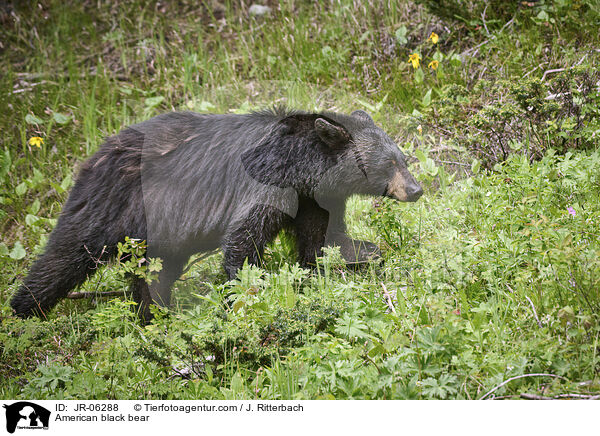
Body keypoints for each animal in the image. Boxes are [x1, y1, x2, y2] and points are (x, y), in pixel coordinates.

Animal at [9, 108, 422, 320]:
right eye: (388, 163)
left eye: (402, 157)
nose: (416, 189)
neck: (301, 166)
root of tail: (93, 155)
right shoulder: (268, 186)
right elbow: (244, 239)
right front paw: (242, 294)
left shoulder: (313, 198)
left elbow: (322, 241)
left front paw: (364, 253)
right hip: (112, 203)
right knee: (66, 254)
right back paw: (24, 310)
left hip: (159, 233)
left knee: (153, 272)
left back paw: (155, 312)